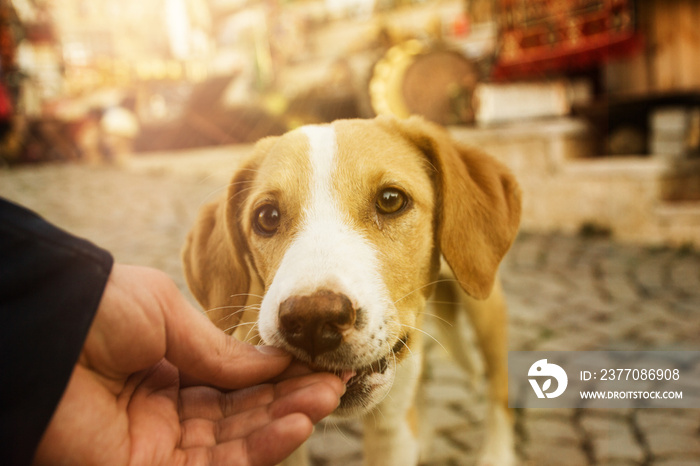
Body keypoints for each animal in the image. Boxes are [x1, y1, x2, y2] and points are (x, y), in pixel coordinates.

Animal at [183, 114, 524, 464]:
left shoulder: (390, 430)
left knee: (499, 385)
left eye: (391, 200)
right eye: (267, 216)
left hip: (485, 303)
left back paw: (496, 453)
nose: (313, 321)